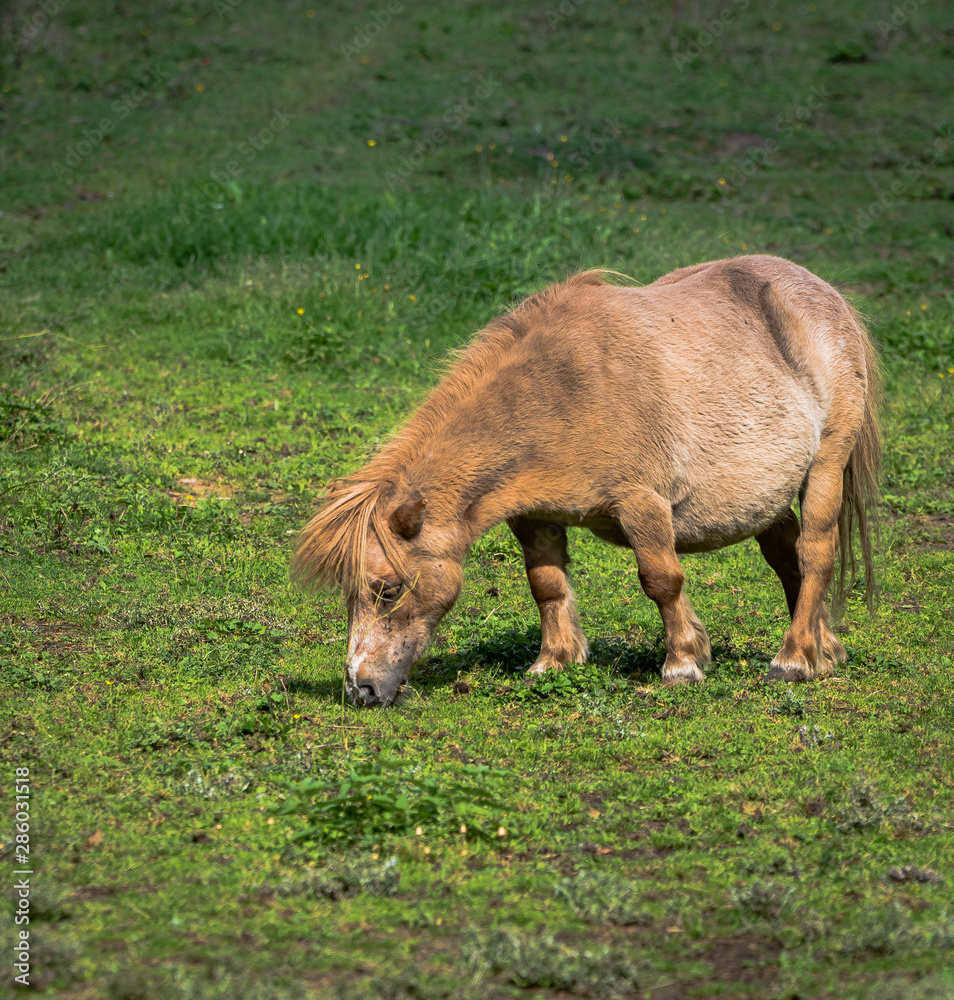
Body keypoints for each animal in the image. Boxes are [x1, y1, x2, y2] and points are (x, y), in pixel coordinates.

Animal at [293, 255, 881, 707]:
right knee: (787, 561)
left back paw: (794, 659)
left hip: (824, 469)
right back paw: (824, 647)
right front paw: (554, 662)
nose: (362, 690)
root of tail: (826, 295)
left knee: (815, 554)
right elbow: (547, 584)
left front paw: (683, 662)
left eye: (388, 590)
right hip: (762, 500)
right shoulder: (533, 516)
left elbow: (662, 580)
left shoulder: (641, 504)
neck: (565, 390)